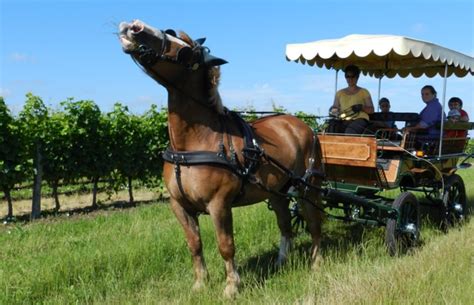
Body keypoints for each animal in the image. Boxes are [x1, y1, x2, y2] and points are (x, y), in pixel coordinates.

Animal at [120, 19, 324, 296]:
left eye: (187, 52)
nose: (134, 26)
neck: (193, 144)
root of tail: (303, 126)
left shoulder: (219, 204)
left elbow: (225, 245)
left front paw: (231, 286)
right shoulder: (179, 205)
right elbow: (194, 244)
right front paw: (200, 283)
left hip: (307, 187)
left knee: (314, 223)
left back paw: (316, 263)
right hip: (277, 191)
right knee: (285, 225)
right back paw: (281, 262)